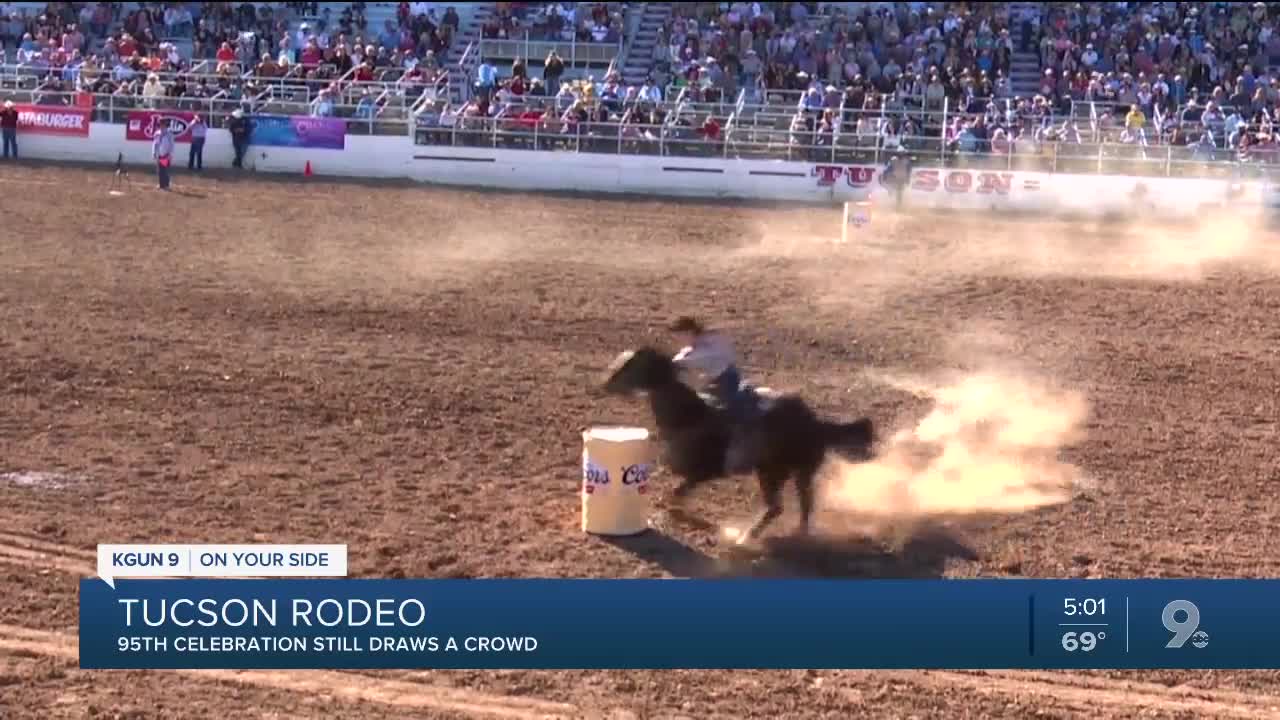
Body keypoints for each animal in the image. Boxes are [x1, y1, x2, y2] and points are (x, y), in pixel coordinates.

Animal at [604, 348, 875, 543]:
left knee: (783, 506)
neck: (691, 416)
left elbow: (677, 492)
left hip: (775, 472)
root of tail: (816, 423)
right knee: (802, 503)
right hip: (792, 472)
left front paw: (671, 510)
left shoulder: (705, 471)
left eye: (632, 366)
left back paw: (749, 537)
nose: (606, 383)